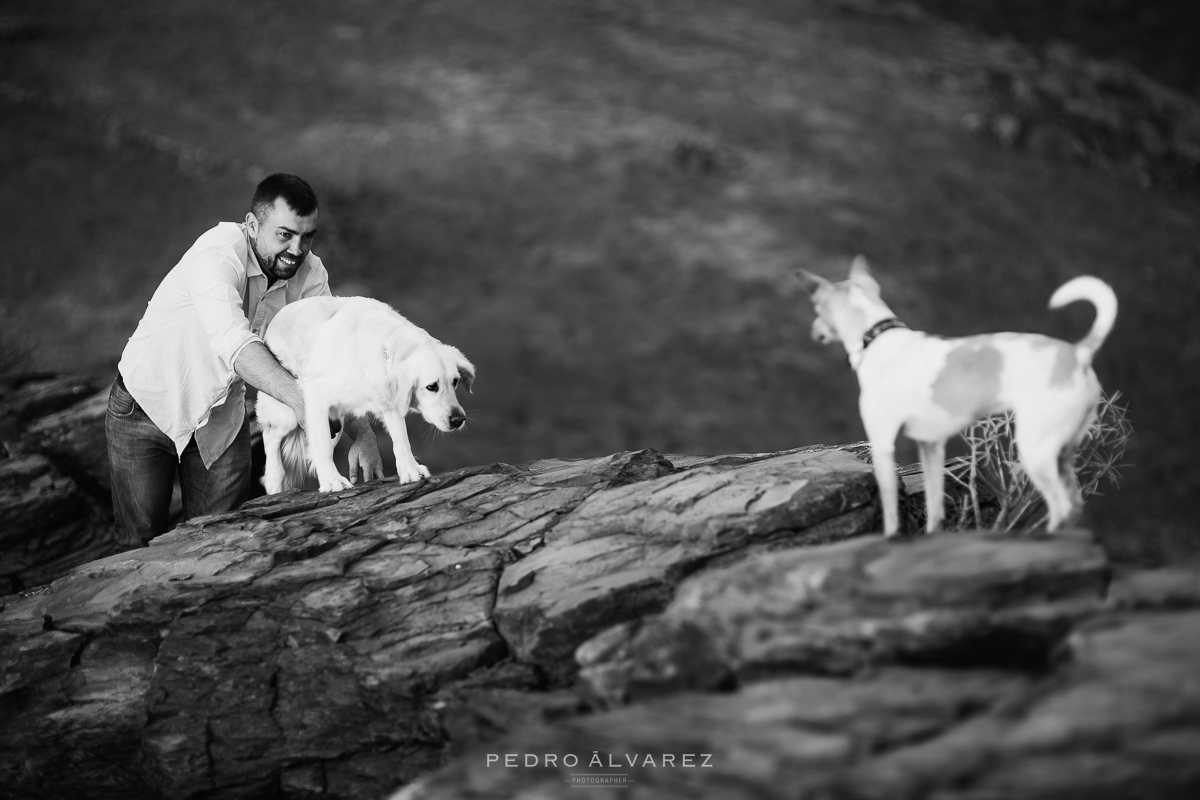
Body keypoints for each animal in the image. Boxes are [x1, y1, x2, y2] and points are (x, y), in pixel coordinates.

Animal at [258, 296, 472, 494]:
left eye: (455, 382)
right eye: (431, 386)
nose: (458, 420)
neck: (383, 346)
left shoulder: (390, 401)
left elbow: (401, 440)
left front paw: (410, 470)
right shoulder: (316, 395)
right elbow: (322, 445)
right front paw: (331, 481)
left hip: (336, 418)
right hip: (287, 412)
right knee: (271, 435)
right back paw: (275, 483)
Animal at [796, 257, 1113, 537]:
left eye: (817, 309)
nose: (812, 330)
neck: (877, 335)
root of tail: (1078, 353)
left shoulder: (883, 443)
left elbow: (890, 511)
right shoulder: (931, 446)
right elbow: (935, 508)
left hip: (1036, 451)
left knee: (1063, 508)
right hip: (1063, 452)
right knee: (1074, 506)